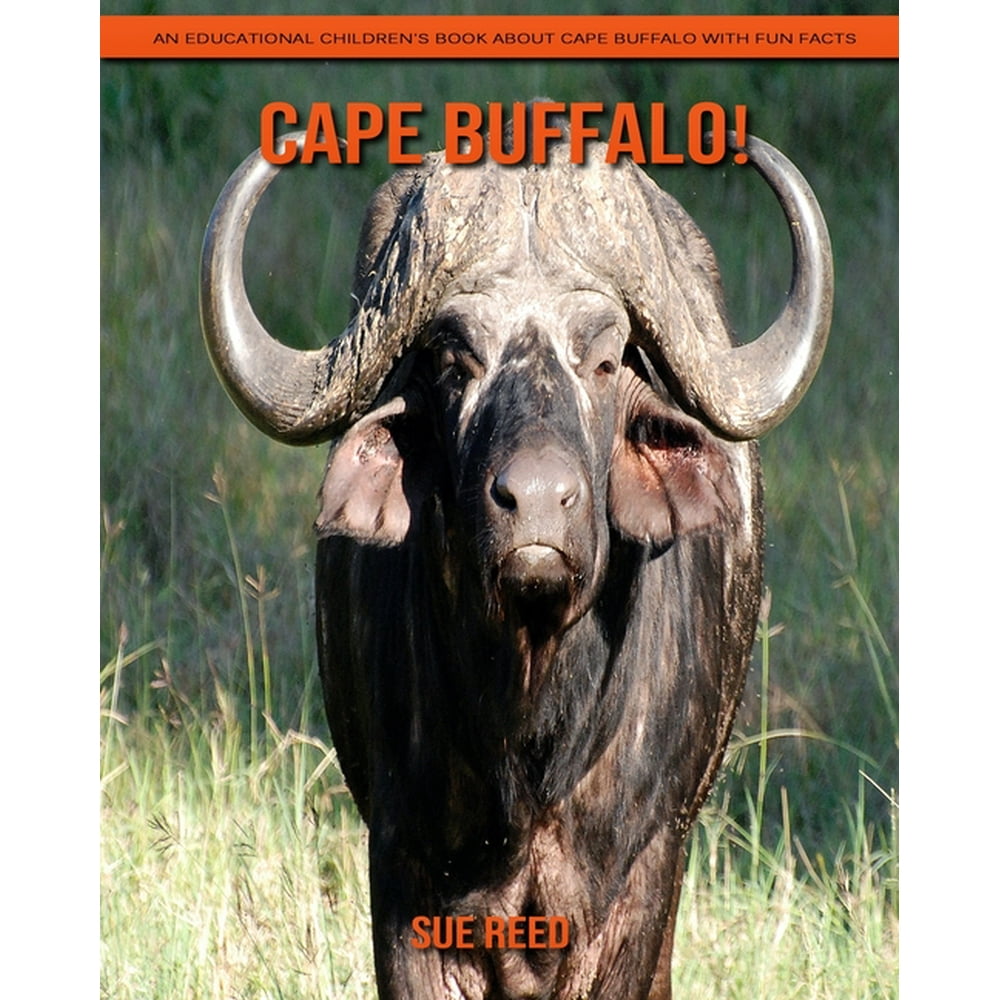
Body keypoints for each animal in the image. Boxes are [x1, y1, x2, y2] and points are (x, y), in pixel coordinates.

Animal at [201, 120, 832, 999]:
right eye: (453, 362)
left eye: (604, 361)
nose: (534, 501)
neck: (534, 741)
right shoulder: (403, 876)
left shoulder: (643, 880)